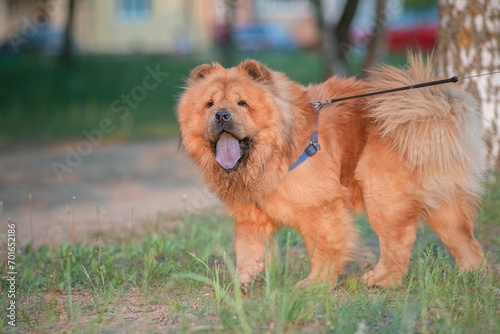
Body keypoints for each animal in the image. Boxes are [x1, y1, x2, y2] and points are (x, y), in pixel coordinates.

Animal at [176, 53, 484, 288]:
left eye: (242, 104)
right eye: (209, 104)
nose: (222, 115)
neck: (276, 153)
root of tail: (430, 109)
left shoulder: (319, 209)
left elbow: (323, 249)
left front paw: (314, 284)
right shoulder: (250, 217)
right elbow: (247, 250)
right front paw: (243, 283)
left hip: (381, 195)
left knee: (397, 241)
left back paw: (380, 281)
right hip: (443, 205)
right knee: (465, 241)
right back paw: (470, 277)